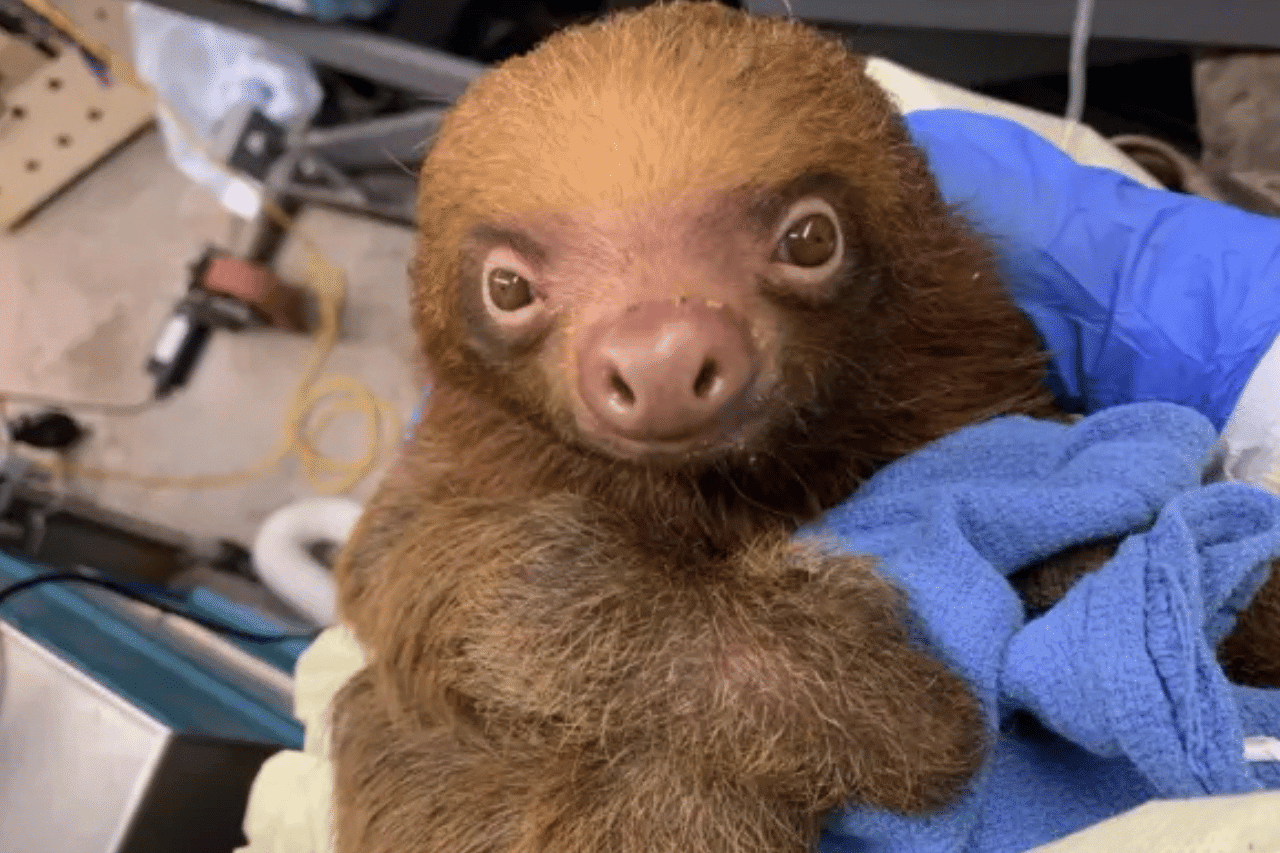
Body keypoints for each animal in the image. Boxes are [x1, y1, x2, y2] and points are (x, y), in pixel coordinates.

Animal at [327, 3, 1280, 852]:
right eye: (508, 287)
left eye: (810, 237)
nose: (661, 355)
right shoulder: (466, 459)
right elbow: (458, 568)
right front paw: (890, 708)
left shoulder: (969, 377)